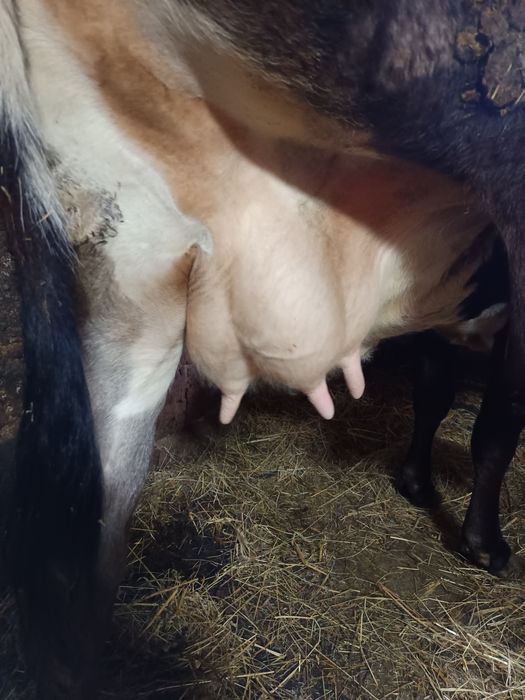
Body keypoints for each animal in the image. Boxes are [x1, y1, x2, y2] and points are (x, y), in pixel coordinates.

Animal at [0, 0, 522, 697]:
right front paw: (484, 543)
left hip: (123, 258)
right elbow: (494, 424)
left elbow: (435, 389)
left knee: (87, 533)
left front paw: (416, 483)